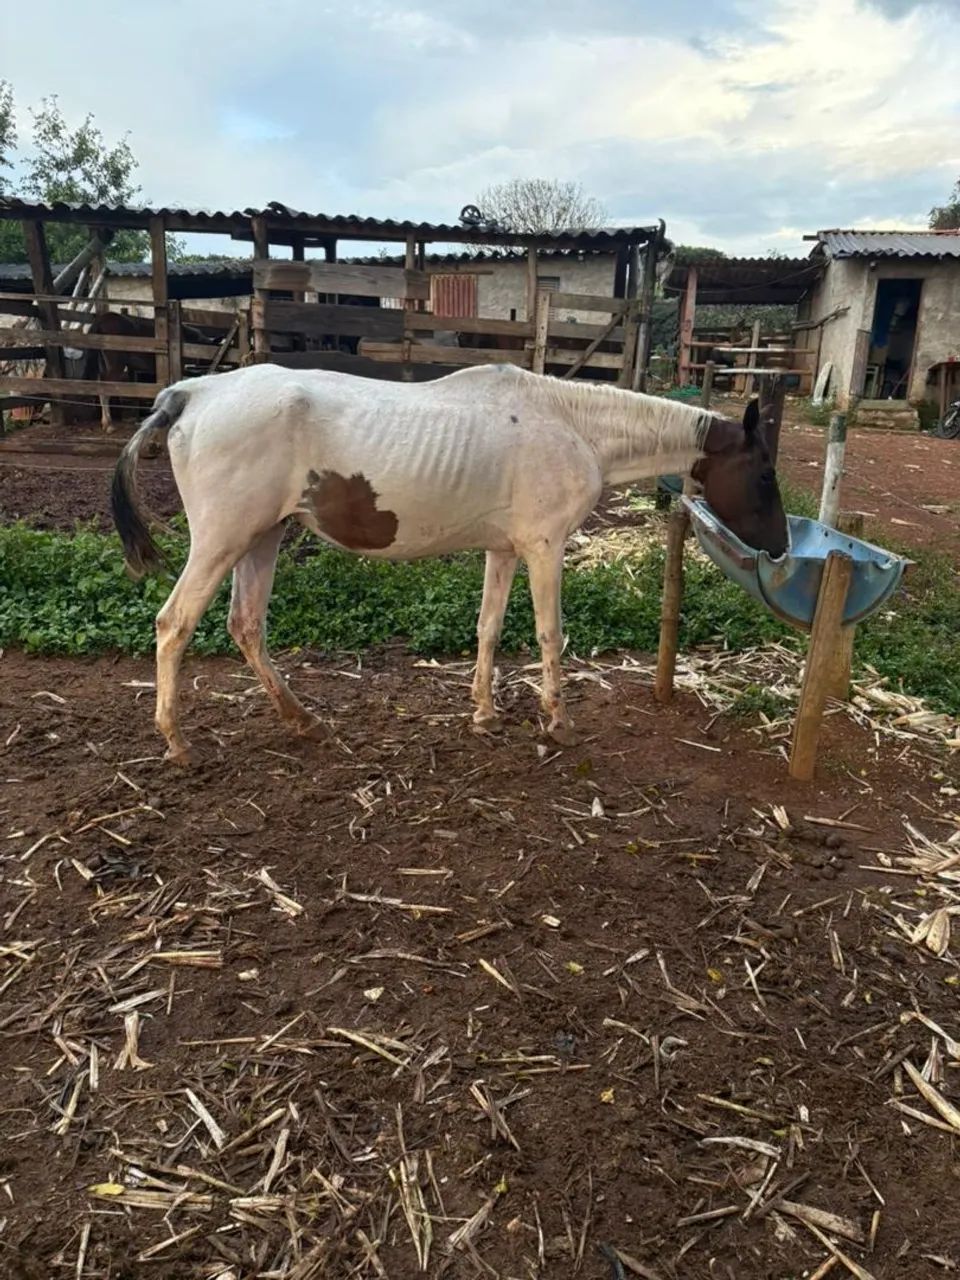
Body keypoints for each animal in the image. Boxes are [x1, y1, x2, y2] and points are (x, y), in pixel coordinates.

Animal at [110, 362, 788, 765]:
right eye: (764, 473)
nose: (780, 547)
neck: (571, 425)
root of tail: (190, 394)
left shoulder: (505, 550)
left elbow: (489, 627)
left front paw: (484, 714)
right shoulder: (544, 549)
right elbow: (549, 635)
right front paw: (557, 722)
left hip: (261, 539)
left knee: (246, 626)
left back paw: (302, 721)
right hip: (222, 542)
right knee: (174, 625)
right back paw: (176, 740)